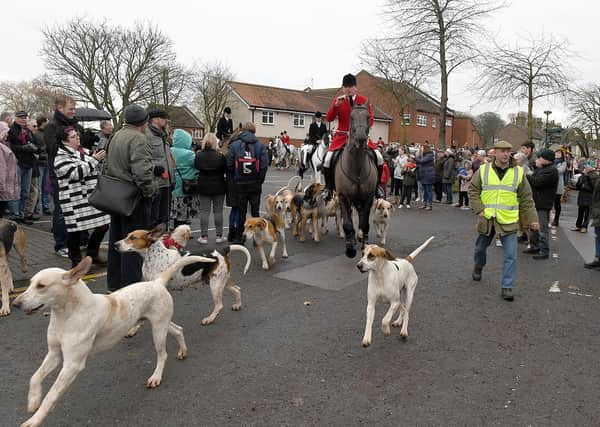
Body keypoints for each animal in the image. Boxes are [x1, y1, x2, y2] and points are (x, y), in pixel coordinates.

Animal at [336, 105, 378, 260]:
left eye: (367, 117)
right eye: (351, 117)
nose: (360, 138)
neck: (357, 168)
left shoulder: (369, 197)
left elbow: (365, 223)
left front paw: (364, 244)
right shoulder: (343, 196)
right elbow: (347, 224)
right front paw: (350, 249)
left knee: (360, 216)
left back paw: (360, 236)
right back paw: (353, 238)